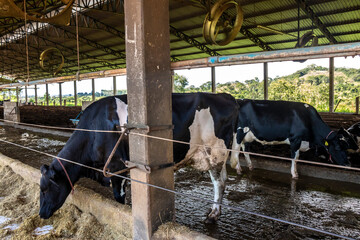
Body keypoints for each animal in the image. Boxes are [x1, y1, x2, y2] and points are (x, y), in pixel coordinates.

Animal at [39, 92, 239, 221]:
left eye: (45, 189)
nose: (41, 214)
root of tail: (226, 96)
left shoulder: (116, 167)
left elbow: (119, 198)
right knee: (222, 179)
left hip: (215, 152)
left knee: (219, 182)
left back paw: (214, 214)